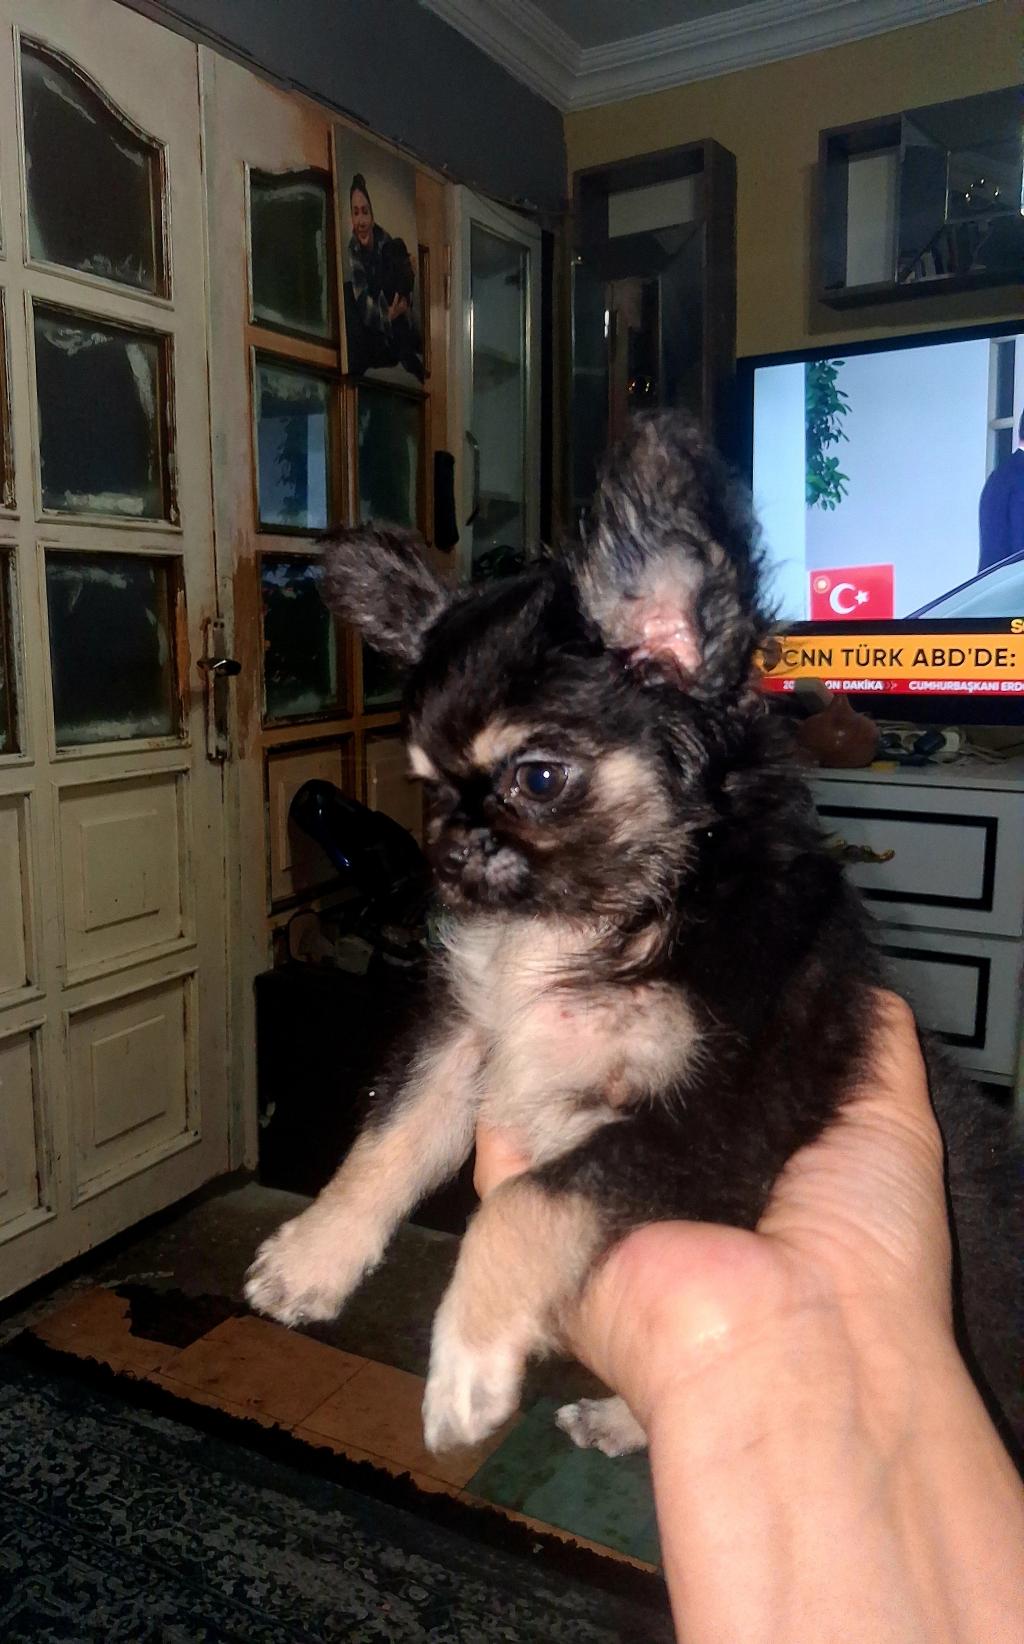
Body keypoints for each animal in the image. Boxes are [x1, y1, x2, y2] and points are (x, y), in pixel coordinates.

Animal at [245, 414, 1021, 1459]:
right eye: (429, 785)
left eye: (536, 779)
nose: (449, 849)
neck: (609, 912)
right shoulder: (464, 1039)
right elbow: (388, 1137)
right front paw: (313, 1256)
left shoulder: (703, 1125)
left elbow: (527, 1201)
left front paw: (467, 1367)